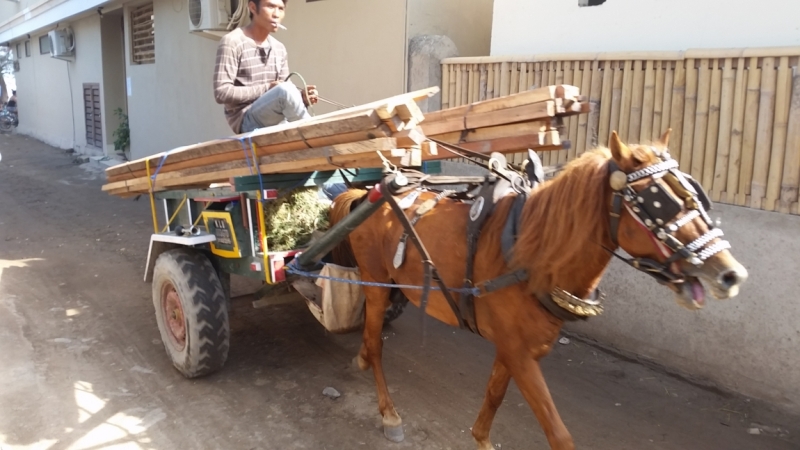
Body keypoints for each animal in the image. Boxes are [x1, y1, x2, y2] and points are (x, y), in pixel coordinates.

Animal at [328, 129, 748, 446]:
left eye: (694, 192)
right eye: (656, 202)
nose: (730, 274)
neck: (530, 251)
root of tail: (367, 194)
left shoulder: (518, 348)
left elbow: (495, 395)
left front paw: (480, 438)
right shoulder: (520, 353)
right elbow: (557, 433)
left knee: (372, 336)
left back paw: (362, 360)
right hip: (376, 282)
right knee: (376, 343)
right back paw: (388, 412)